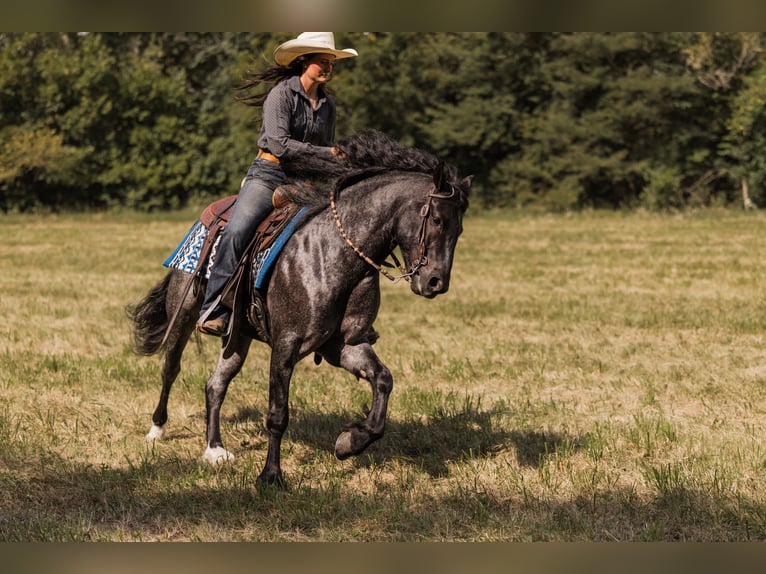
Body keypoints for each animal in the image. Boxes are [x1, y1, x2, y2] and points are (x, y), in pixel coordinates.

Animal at [126, 130, 472, 486]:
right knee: (170, 366)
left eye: (459, 228)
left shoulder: (344, 345)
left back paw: (215, 450)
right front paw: (271, 475)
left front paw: (350, 441)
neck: (334, 253)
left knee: (215, 385)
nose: (436, 282)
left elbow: (383, 380)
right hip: (183, 314)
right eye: (436, 219)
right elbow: (278, 413)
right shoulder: (285, 346)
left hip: (238, 336)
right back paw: (157, 430)